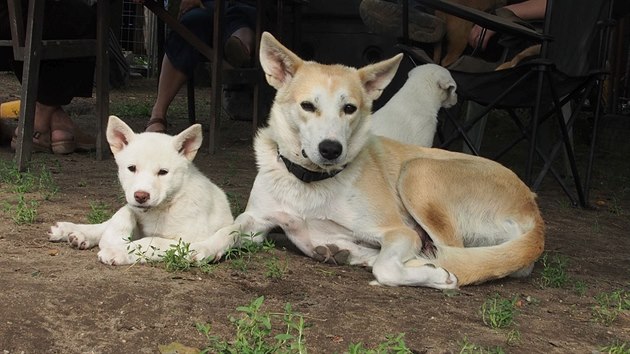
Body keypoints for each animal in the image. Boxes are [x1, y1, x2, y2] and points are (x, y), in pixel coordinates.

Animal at [48, 116, 233, 266]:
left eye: (163, 172)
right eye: (132, 168)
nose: (141, 196)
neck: (167, 205)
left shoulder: (188, 239)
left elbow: (152, 242)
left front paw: (117, 251)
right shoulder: (133, 206)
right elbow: (122, 213)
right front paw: (113, 237)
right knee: (104, 223)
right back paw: (73, 231)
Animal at [190, 31, 544, 290]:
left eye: (350, 108)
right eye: (307, 106)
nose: (331, 149)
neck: (311, 183)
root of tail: (534, 209)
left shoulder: (400, 232)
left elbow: (388, 268)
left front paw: (432, 274)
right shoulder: (257, 221)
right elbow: (230, 228)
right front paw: (202, 247)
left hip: (416, 173)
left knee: (457, 255)